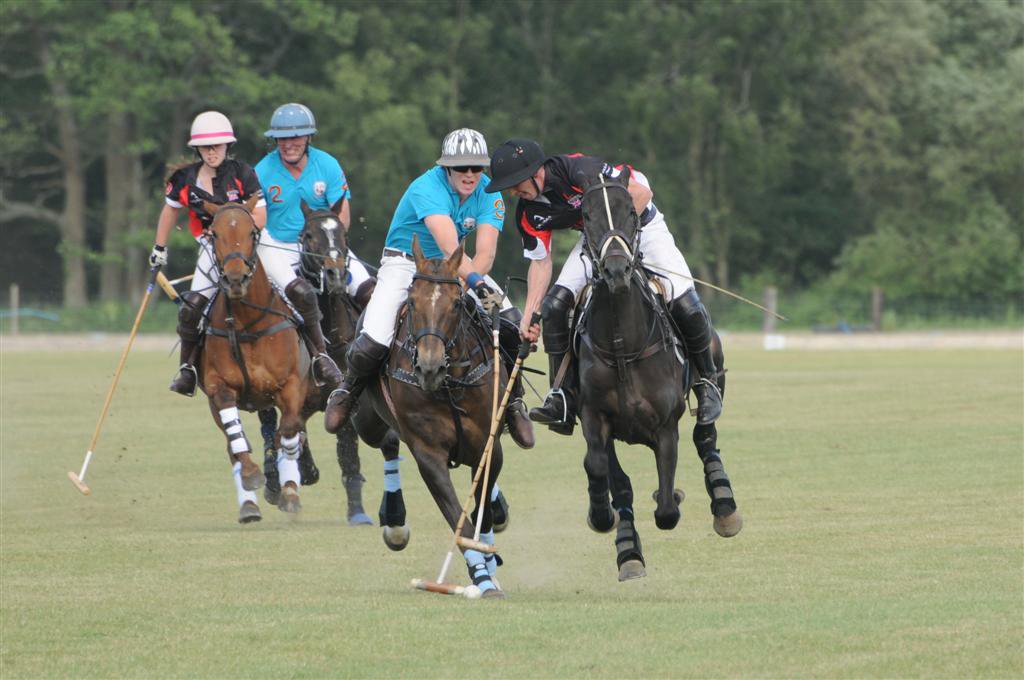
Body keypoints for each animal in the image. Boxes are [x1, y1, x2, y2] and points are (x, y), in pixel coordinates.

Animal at [198, 197, 314, 521]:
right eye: (214, 234)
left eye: (252, 232)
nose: (235, 279)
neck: (247, 323)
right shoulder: (218, 386)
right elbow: (237, 438)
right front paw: (252, 475)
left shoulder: (292, 385)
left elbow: (288, 431)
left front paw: (288, 489)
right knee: (232, 445)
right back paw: (249, 504)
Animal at [352, 236, 508, 597]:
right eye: (411, 301)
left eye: (456, 304)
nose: (429, 368)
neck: (451, 383)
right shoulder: (428, 454)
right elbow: (457, 517)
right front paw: (481, 577)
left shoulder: (489, 445)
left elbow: (479, 510)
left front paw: (489, 563)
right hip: (366, 420)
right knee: (386, 441)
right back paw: (395, 524)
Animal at [573, 173, 742, 581]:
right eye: (585, 215)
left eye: (632, 212)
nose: (617, 271)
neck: (623, 346)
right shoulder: (595, 419)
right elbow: (607, 474)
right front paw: (618, 538)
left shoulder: (666, 426)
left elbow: (666, 508)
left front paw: (674, 498)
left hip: (713, 374)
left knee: (705, 436)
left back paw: (725, 506)